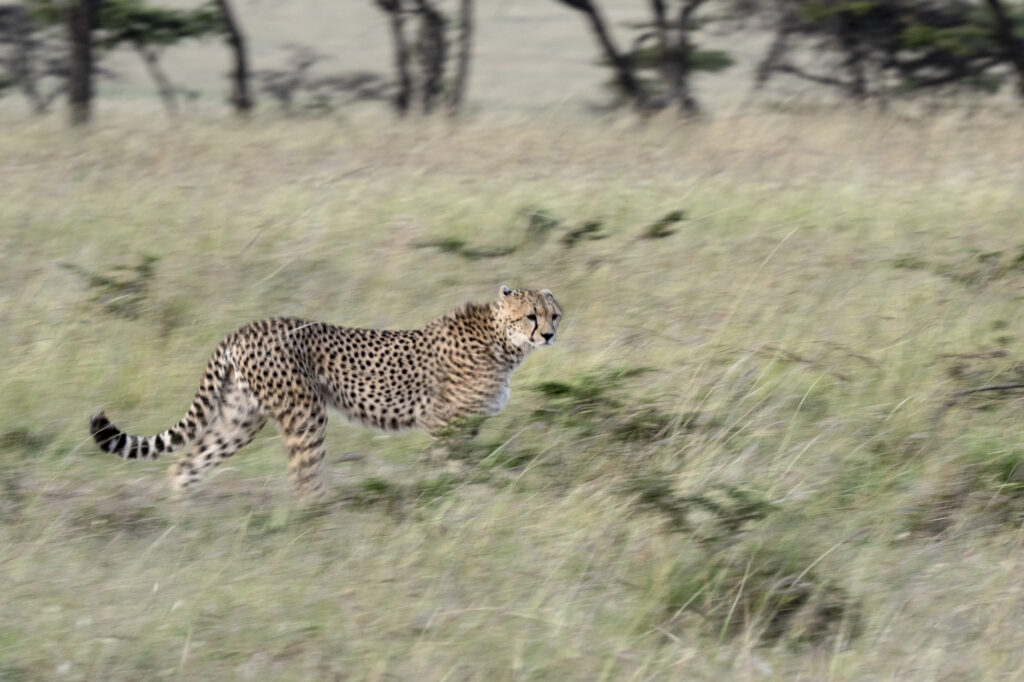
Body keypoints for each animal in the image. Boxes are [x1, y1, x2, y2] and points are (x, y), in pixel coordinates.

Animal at [89, 286, 562, 497]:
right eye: (530, 316)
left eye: (553, 314)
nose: (549, 335)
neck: (502, 341)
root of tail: (246, 327)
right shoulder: (442, 421)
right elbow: (452, 463)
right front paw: (456, 491)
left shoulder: (465, 423)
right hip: (304, 412)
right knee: (304, 475)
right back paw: (319, 521)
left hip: (241, 417)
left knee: (186, 464)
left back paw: (180, 516)